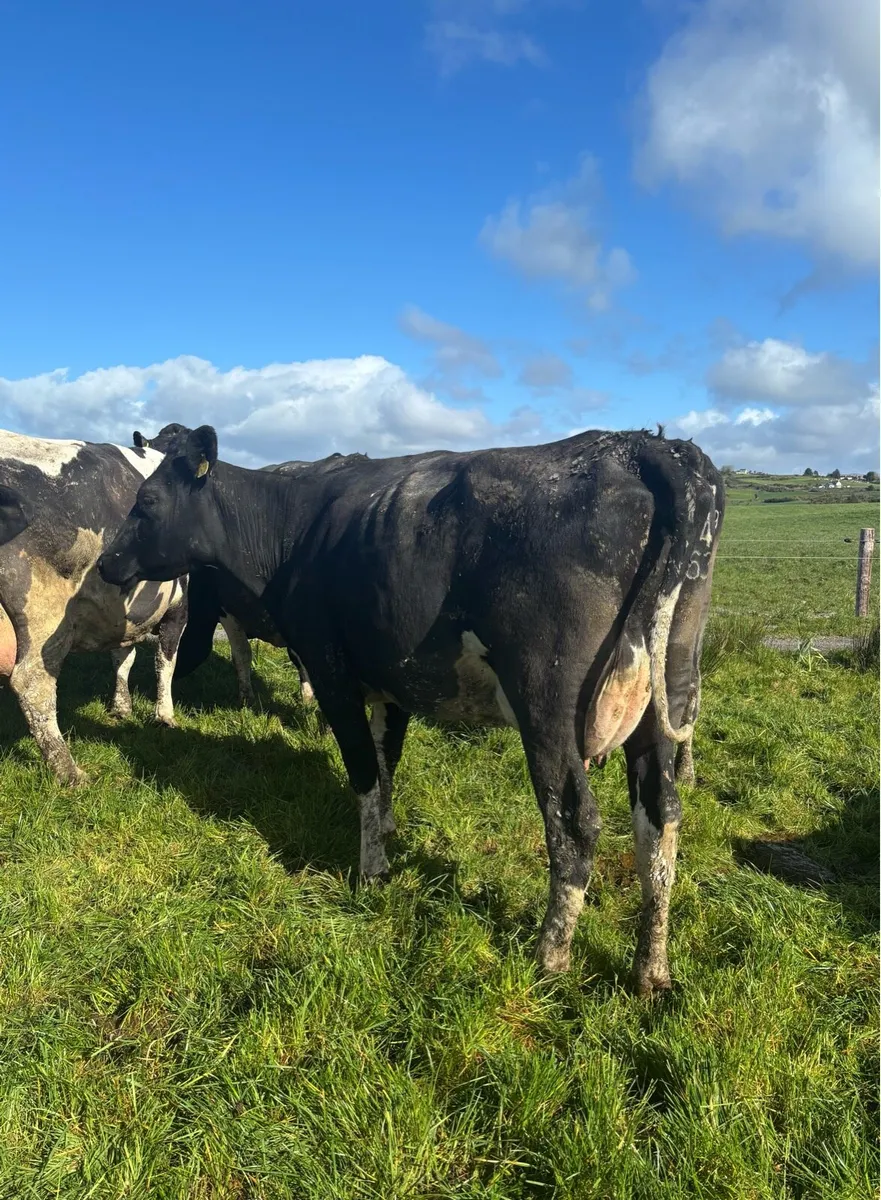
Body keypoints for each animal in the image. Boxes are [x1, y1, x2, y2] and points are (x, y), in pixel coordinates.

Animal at [0, 430, 189, 784]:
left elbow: (123, 658)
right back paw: (69, 772)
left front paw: (122, 707)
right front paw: (165, 716)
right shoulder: (179, 608)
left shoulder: (122, 617)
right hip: (43, 614)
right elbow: (165, 662)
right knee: (33, 683)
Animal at [98, 424, 724, 993]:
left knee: (574, 822)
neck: (290, 529)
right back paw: (651, 968)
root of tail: (640, 444)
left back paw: (551, 955)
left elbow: (362, 769)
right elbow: (386, 760)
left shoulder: (330, 671)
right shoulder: (390, 680)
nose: (105, 562)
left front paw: (371, 870)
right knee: (660, 817)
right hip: (661, 699)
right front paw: (388, 831)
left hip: (547, 708)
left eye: (147, 501)